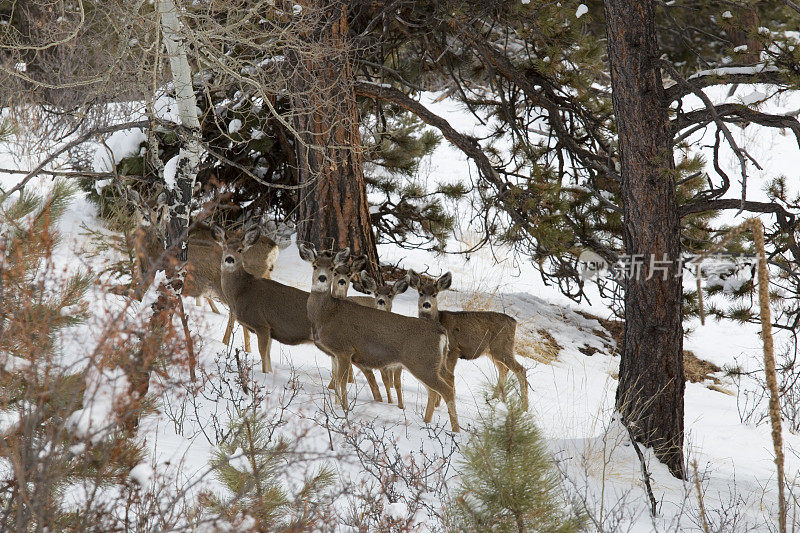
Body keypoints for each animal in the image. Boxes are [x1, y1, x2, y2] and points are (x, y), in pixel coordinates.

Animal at [410, 268, 528, 410]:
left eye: (434, 294)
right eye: (421, 293)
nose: (426, 304)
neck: (438, 319)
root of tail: (514, 323)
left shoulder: (454, 349)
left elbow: (449, 375)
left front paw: (439, 403)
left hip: (502, 347)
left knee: (520, 370)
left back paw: (524, 408)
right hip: (492, 351)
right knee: (504, 370)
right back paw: (495, 399)